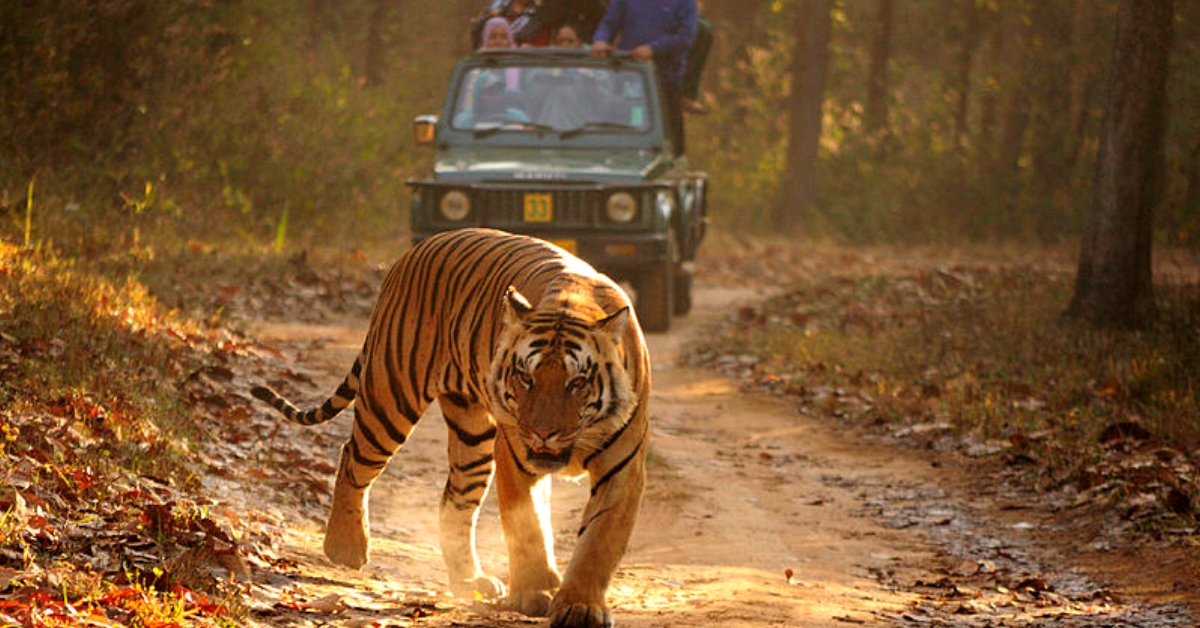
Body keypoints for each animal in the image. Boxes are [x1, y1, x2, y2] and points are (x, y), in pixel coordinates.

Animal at [247, 228, 652, 628]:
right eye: (526, 377)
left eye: (577, 383)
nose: (542, 433)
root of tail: (415, 250)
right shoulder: (516, 455)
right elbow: (527, 527)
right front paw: (535, 591)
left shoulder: (622, 468)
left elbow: (599, 542)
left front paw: (579, 605)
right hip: (391, 395)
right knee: (353, 458)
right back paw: (346, 547)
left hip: (472, 434)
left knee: (454, 501)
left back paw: (469, 580)